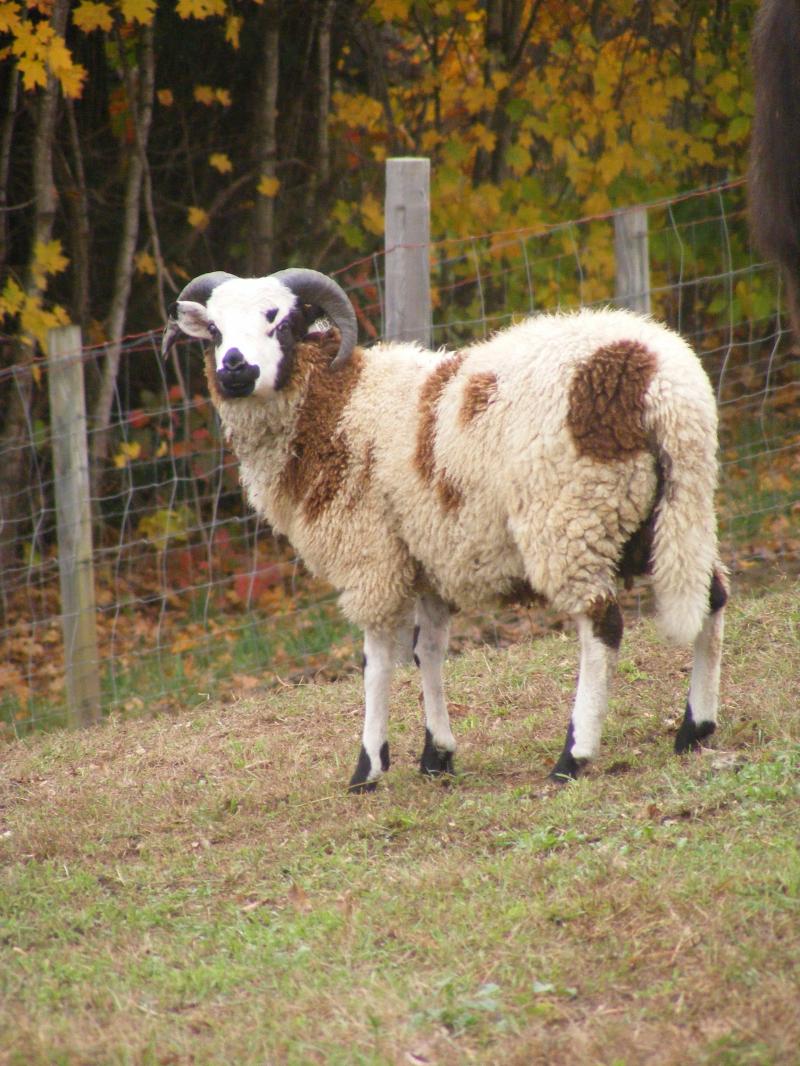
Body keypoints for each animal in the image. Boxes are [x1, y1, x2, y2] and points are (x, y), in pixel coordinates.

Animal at [162, 267, 727, 792]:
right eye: (213, 330)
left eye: (277, 321)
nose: (235, 367)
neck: (335, 404)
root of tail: (658, 375)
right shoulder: (429, 554)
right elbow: (427, 650)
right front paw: (437, 755)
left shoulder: (371, 555)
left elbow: (376, 661)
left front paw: (368, 768)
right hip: (679, 508)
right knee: (712, 595)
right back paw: (695, 728)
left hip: (571, 515)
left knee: (601, 624)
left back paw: (574, 756)